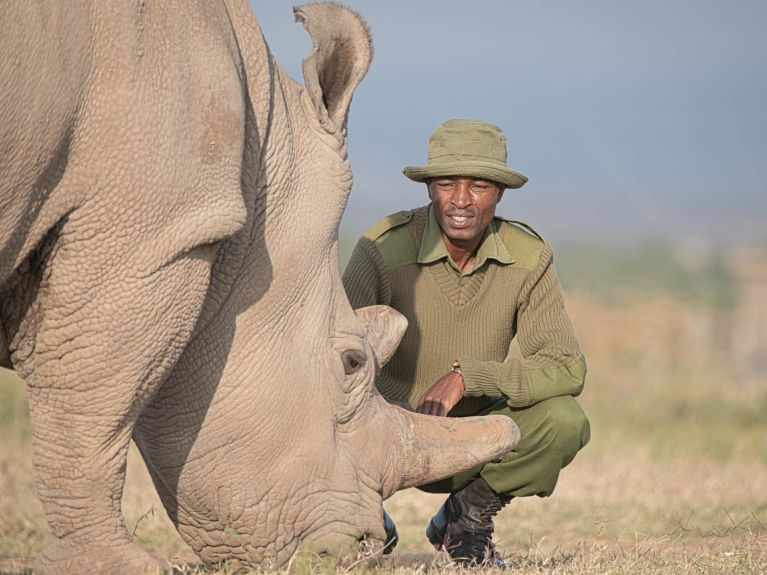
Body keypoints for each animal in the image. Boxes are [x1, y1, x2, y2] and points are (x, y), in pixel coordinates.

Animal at [0, 2, 520, 572]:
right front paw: (115, 565)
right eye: (351, 363)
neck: (260, 159)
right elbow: (92, 407)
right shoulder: (150, 235)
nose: (370, 546)